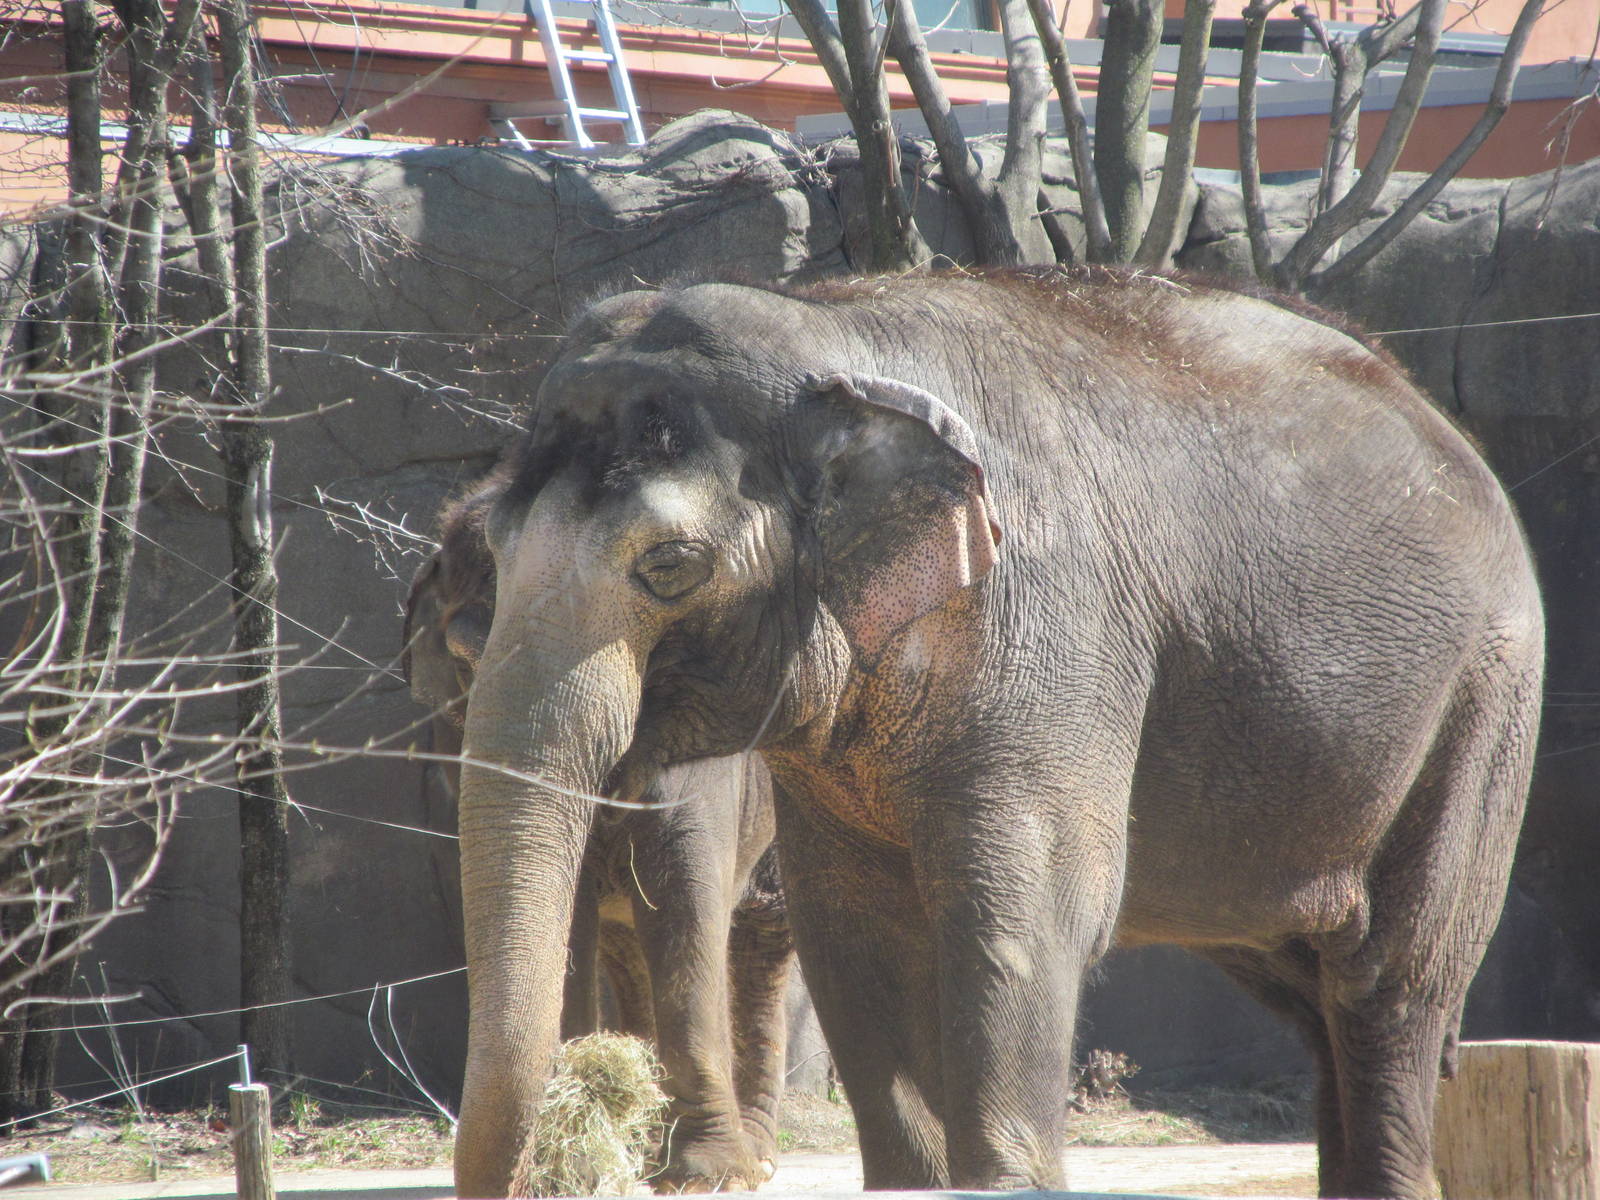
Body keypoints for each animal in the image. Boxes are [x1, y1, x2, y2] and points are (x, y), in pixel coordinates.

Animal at [403, 476, 794, 1190]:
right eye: (467, 667)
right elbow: (571, 914)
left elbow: (685, 894)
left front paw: (705, 1175)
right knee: (627, 946)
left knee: (762, 939)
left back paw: (752, 1160)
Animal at [449, 267, 1543, 1200]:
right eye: (490, 554)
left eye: (668, 566)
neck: (834, 332)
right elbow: (851, 926)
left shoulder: (1050, 624)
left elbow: (1025, 905)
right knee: (1309, 993)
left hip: (1485, 701)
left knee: (1389, 985)